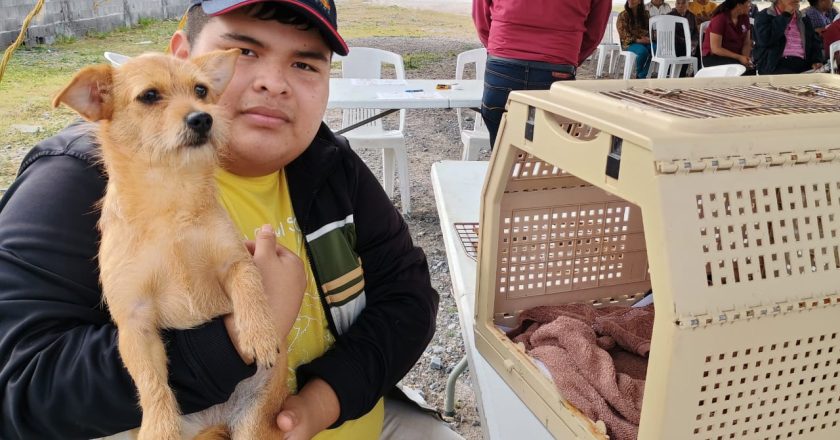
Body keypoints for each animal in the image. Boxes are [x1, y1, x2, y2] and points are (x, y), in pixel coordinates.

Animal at [54, 51, 288, 440]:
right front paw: (160, 425)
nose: (202, 117)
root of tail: (212, 422)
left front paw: (260, 332)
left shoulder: (236, 259)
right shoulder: (134, 322)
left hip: (253, 423)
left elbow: (250, 285)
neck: (170, 202)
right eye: (149, 96)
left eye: (201, 90)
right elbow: (150, 382)